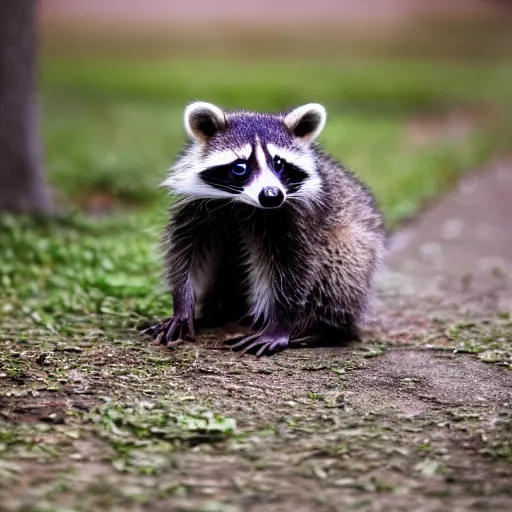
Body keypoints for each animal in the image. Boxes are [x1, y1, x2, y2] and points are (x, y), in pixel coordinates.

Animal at [142, 100, 386, 356]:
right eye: (240, 167)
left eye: (279, 164)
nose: (272, 195)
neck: (243, 205)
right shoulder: (195, 212)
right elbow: (187, 258)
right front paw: (182, 306)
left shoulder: (300, 220)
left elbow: (297, 270)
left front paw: (280, 325)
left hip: (356, 244)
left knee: (342, 267)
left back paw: (322, 329)